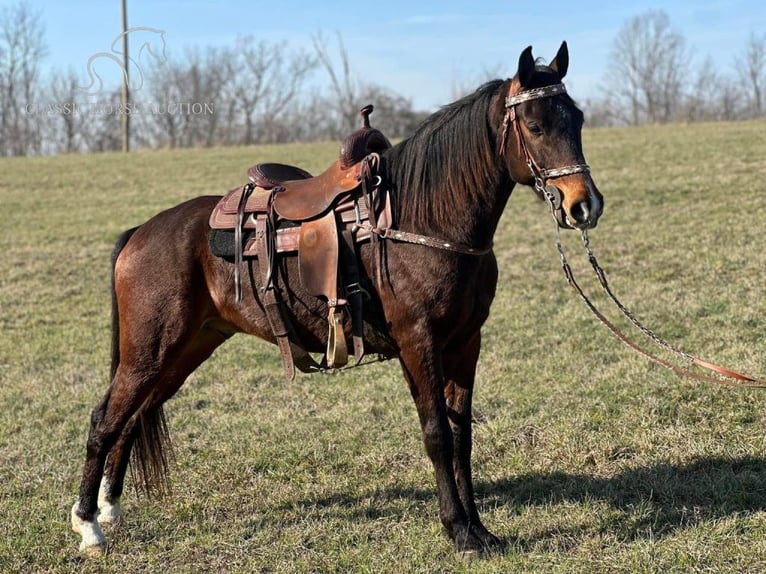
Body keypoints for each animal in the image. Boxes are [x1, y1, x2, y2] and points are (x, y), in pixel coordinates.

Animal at [72, 42, 604, 560]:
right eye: (535, 125)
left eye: (577, 119)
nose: (584, 205)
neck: (419, 220)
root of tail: (141, 233)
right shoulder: (418, 342)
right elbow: (437, 433)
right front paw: (458, 532)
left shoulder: (464, 343)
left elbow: (462, 436)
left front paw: (480, 530)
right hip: (148, 353)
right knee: (105, 420)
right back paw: (89, 527)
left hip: (183, 351)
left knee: (133, 418)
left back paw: (111, 509)